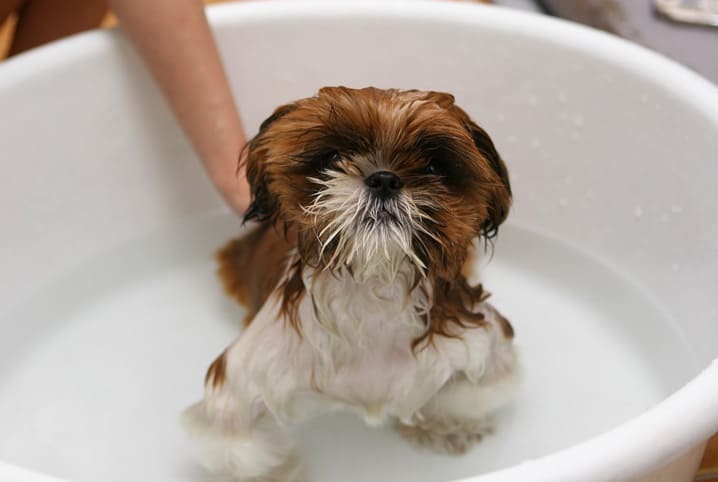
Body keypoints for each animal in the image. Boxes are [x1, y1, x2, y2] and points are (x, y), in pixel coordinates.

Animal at [183, 87, 520, 482]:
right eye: (332, 157)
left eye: (435, 166)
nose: (384, 178)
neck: (373, 292)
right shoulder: (241, 383)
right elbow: (239, 445)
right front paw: (275, 474)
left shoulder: (478, 342)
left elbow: (462, 394)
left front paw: (443, 425)